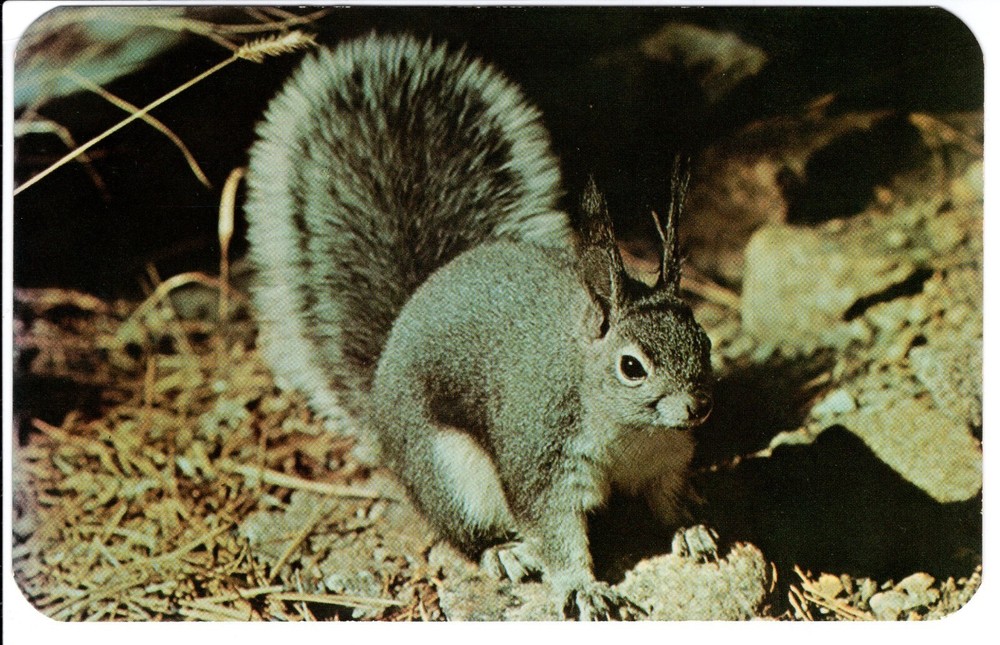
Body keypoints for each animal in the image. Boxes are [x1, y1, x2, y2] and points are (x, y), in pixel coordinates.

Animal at [244, 33, 715, 620]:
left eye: (704, 339)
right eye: (631, 366)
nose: (698, 408)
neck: (631, 433)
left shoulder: (667, 458)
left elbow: (669, 496)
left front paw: (692, 528)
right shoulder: (541, 458)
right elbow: (554, 532)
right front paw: (583, 587)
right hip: (450, 471)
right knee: (464, 529)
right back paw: (503, 552)